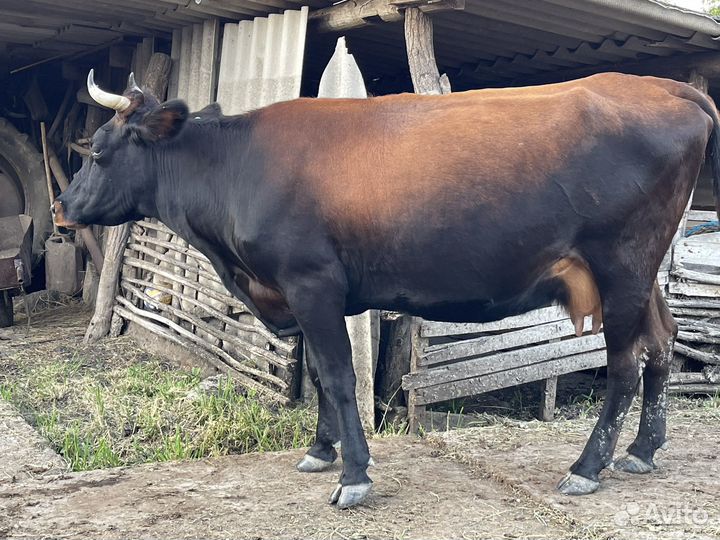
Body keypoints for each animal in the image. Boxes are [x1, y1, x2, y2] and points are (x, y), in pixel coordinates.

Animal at [54, 70, 720, 508]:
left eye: (101, 152)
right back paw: (643, 451)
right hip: (643, 273)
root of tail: (666, 87)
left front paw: (353, 475)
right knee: (663, 342)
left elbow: (339, 374)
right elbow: (318, 373)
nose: (61, 208)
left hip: (621, 264)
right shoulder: (299, 292)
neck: (236, 166)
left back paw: (587, 467)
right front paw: (320, 451)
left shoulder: (312, 282)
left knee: (626, 363)